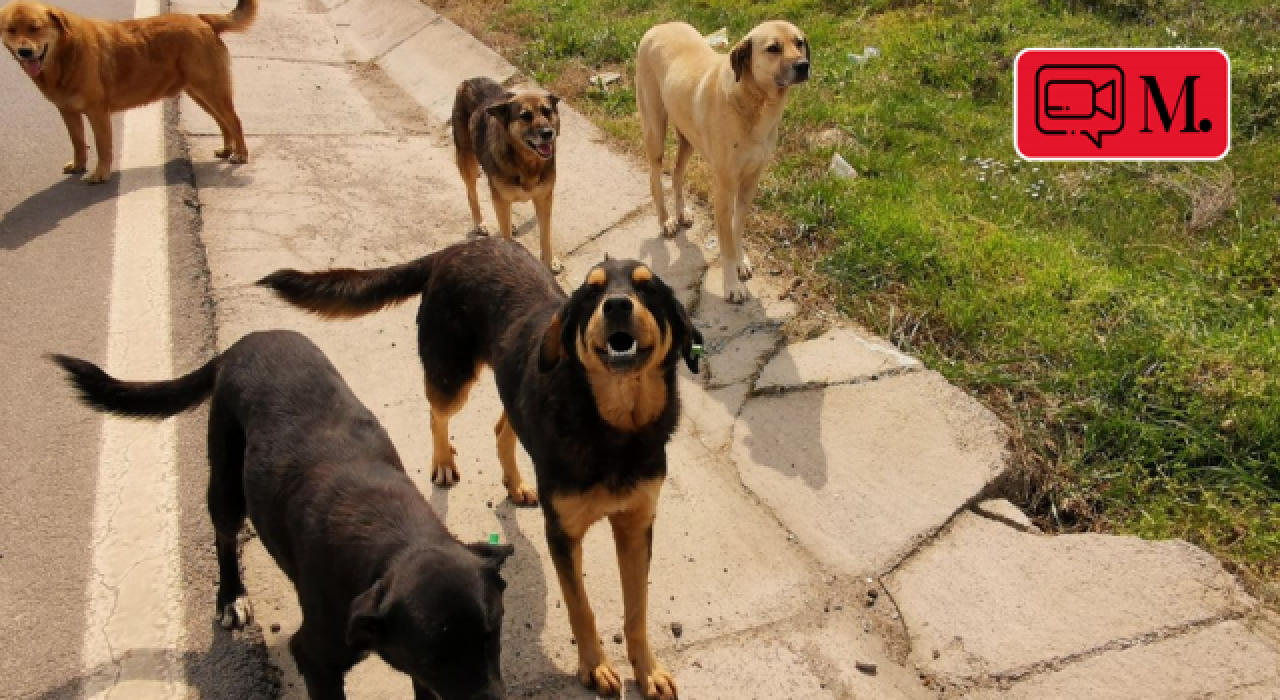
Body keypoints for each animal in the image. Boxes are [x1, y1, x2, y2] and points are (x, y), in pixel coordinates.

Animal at [0, 0, 254, 182]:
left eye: (35, 28)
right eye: (11, 30)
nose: (24, 52)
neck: (66, 54)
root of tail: (203, 19)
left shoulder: (97, 112)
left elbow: (102, 146)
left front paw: (100, 174)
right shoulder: (68, 112)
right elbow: (78, 141)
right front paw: (79, 165)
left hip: (211, 90)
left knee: (234, 120)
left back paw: (241, 154)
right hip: (201, 94)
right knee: (223, 122)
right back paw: (226, 149)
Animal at [51, 332, 509, 700]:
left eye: (493, 636)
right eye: (436, 656)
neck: (398, 544)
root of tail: (242, 343)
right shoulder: (315, 657)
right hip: (226, 486)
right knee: (224, 536)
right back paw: (231, 597)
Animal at [259, 238, 701, 696]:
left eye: (647, 289)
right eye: (591, 294)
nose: (615, 305)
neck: (615, 427)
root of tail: (457, 247)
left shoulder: (636, 525)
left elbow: (637, 611)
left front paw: (647, 670)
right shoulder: (563, 534)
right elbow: (582, 609)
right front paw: (594, 666)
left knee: (503, 423)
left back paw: (516, 482)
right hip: (451, 377)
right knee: (437, 414)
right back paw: (442, 461)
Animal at [455, 76, 565, 273]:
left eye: (547, 111)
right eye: (525, 116)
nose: (548, 133)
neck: (527, 162)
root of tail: (469, 80)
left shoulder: (544, 199)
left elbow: (545, 235)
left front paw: (550, 261)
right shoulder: (501, 198)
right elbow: (506, 236)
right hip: (468, 162)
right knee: (471, 193)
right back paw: (480, 223)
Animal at [637, 20, 808, 300]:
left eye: (800, 42)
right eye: (773, 48)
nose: (803, 65)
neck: (753, 103)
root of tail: (659, 25)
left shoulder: (750, 182)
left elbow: (736, 227)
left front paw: (740, 261)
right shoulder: (724, 189)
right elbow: (725, 241)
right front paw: (731, 285)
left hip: (688, 139)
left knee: (676, 172)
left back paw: (681, 211)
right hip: (655, 131)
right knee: (655, 177)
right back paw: (666, 220)